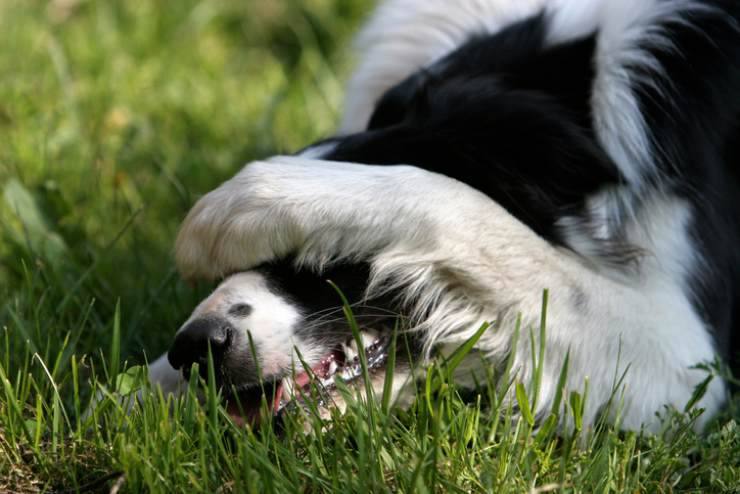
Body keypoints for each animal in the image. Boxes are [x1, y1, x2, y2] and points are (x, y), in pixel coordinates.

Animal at [146, 0, 740, 430]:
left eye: (322, 252)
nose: (194, 349)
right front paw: (143, 394)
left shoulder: (686, 359)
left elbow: (466, 210)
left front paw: (240, 205)